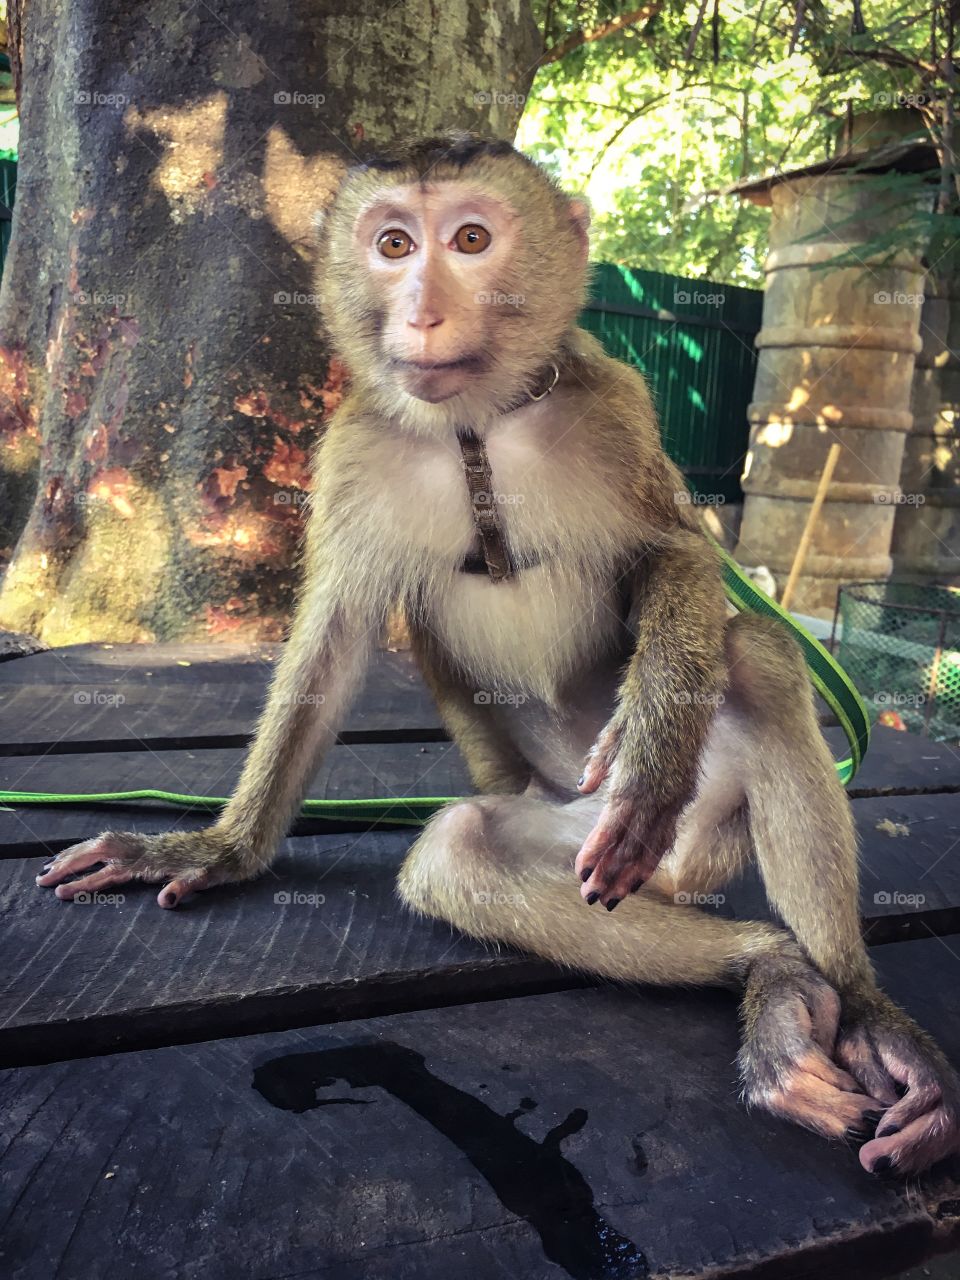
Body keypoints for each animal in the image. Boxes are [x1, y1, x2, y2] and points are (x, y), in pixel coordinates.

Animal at [37, 133, 960, 1178]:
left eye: (471, 240)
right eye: (394, 243)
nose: (422, 311)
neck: (475, 427)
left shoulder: (614, 406)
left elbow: (676, 554)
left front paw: (656, 741)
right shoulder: (353, 451)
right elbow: (328, 655)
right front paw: (219, 849)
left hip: (686, 841)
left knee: (758, 658)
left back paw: (850, 999)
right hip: (569, 829)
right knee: (459, 852)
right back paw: (767, 966)